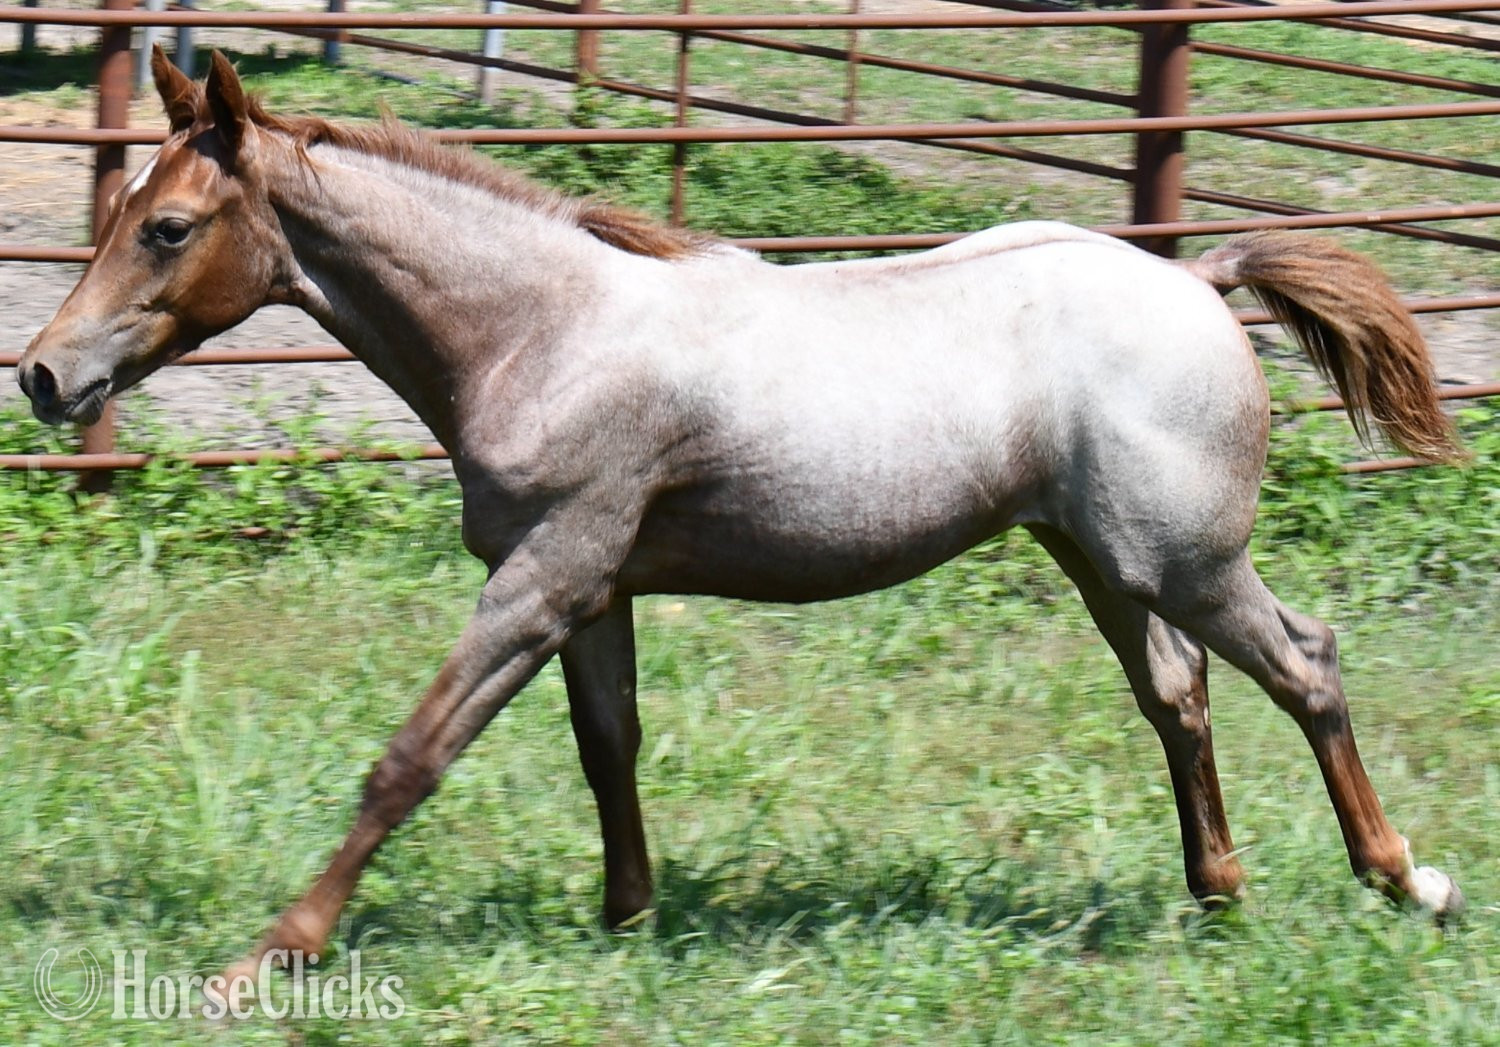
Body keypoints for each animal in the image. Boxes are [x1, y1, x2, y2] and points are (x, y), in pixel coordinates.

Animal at [16, 48, 1466, 985]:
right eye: (128, 210)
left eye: (169, 227)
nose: (42, 374)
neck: (546, 332)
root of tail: (1202, 279)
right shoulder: (595, 589)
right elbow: (609, 747)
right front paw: (627, 919)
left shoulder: (543, 575)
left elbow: (411, 756)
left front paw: (268, 957)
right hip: (1105, 559)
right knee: (1180, 695)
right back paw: (1219, 892)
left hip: (1185, 556)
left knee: (1304, 662)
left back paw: (1407, 878)